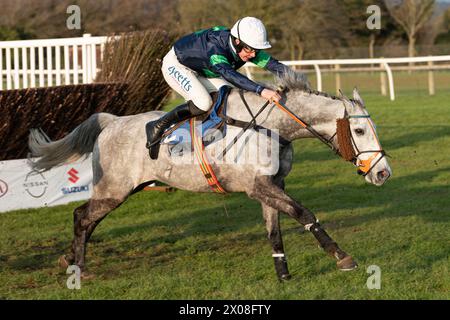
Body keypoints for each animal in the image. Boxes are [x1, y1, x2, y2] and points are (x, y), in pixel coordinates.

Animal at [29, 74, 392, 282]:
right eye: (360, 131)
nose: (383, 172)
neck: (272, 126)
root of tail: (111, 122)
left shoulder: (271, 186)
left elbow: (274, 230)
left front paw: (283, 274)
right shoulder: (258, 186)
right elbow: (305, 213)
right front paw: (341, 256)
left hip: (121, 189)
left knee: (88, 219)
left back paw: (69, 258)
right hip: (114, 189)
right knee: (82, 216)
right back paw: (79, 268)